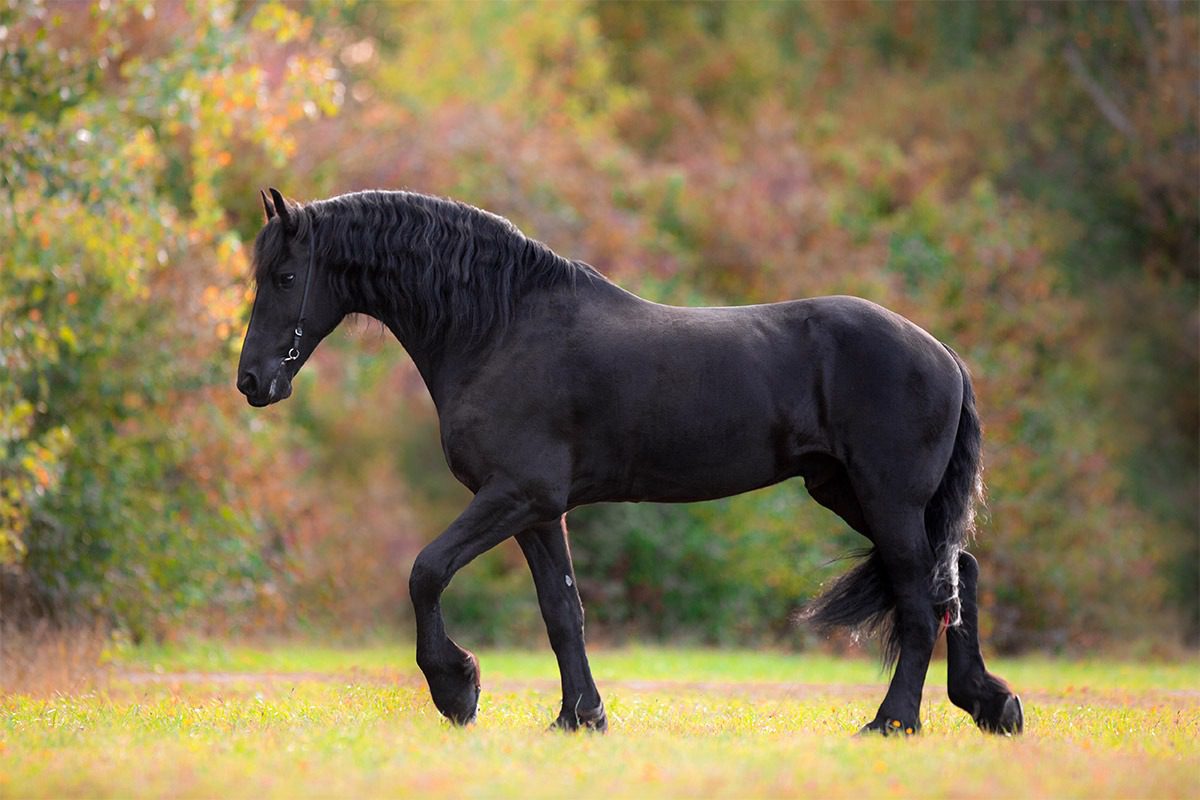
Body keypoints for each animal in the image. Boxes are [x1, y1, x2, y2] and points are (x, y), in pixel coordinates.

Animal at [237, 187, 1023, 736]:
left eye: (285, 276)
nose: (252, 381)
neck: (501, 328)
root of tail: (945, 357)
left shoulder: (515, 495)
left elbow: (427, 570)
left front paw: (456, 689)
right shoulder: (537, 510)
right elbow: (562, 611)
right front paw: (579, 716)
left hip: (887, 498)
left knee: (923, 600)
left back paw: (893, 721)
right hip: (854, 493)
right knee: (957, 574)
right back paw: (991, 704)